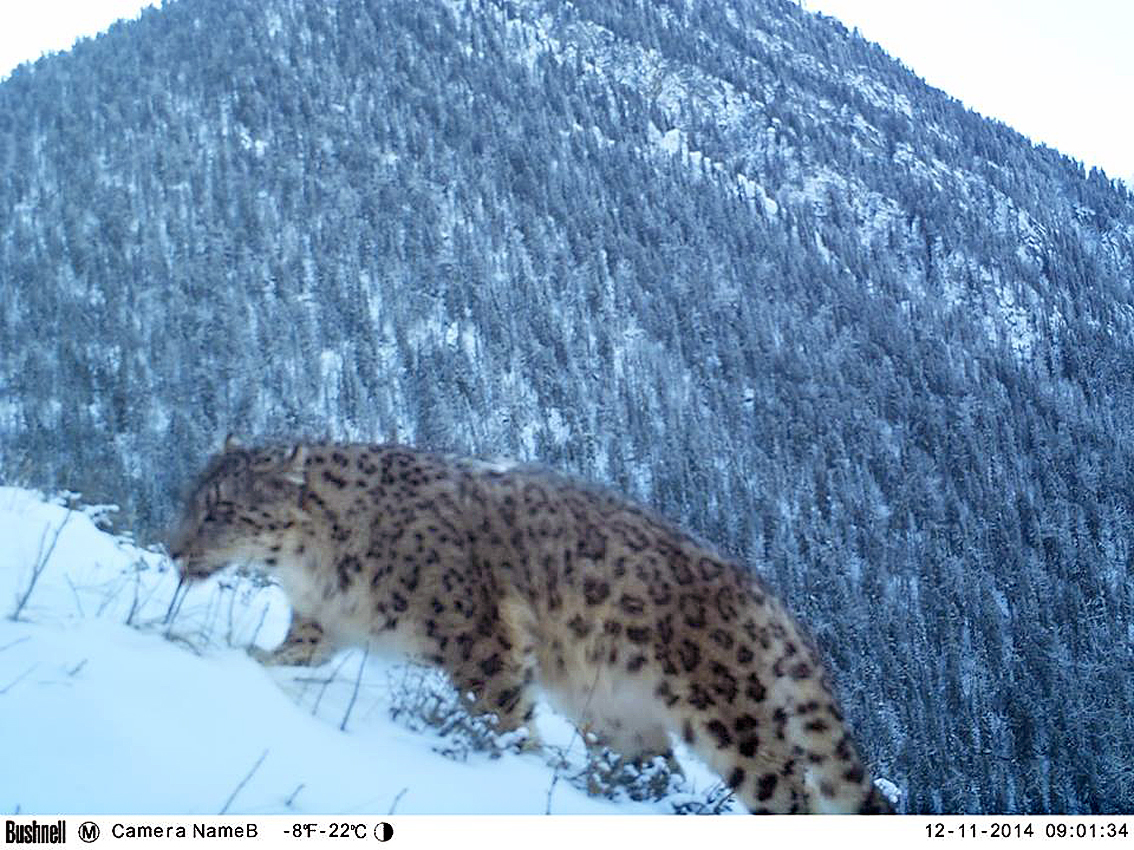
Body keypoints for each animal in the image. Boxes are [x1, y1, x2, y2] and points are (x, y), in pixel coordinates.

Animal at [167, 437, 891, 814]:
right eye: (189, 499)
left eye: (220, 509)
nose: (172, 549)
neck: (313, 570)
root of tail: (766, 594)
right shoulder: (321, 624)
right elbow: (288, 655)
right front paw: (232, 658)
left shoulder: (477, 636)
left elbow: (501, 713)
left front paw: (504, 764)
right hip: (619, 716)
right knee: (653, 771)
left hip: (734, 715)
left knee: (789, 791)